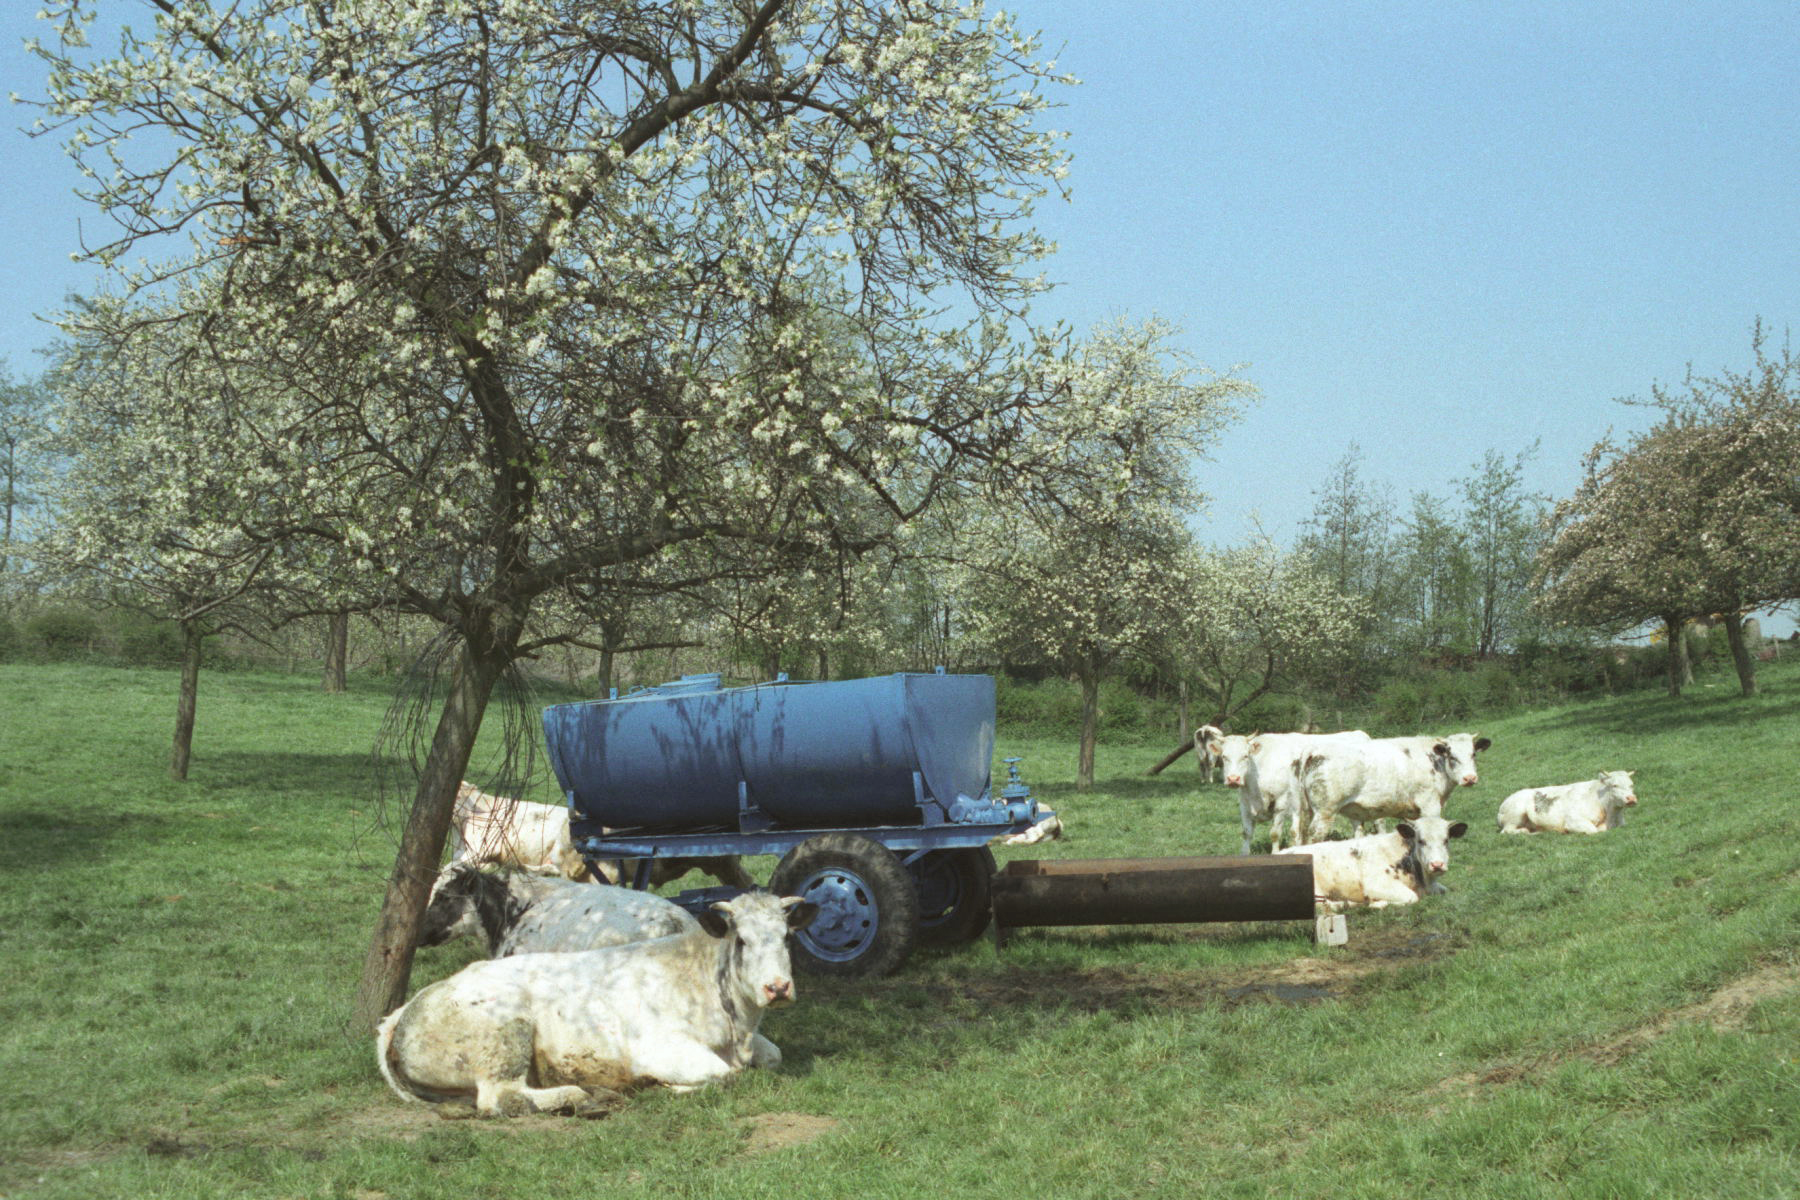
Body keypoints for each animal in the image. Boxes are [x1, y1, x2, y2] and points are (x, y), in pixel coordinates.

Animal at [378, 891, 820, 1117]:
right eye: (741, 940)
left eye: (786, 937)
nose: (777, 987)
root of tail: (403, 1010)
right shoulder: (658, 1048)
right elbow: (725, 1075)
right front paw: (666, 1087)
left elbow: (773, 1056)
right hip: (502, 1035)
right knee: (501, 1098)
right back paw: (581, 1097)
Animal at [1208, 729, 1372, 855]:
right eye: (1224, 757)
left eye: (1245, 756)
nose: (1233, 779)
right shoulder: (1245, 804)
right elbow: (1246, 833)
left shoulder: (1281, 803)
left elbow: (1275, 834)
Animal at [1277, 816, 1469, 910]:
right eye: (1420, 840)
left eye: (1446, 840)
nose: (1437, 865)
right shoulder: (1377, 884)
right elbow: (1411, 897)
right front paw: (1376, 903)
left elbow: (1444, 890)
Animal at [1296, 733, 1491, 842]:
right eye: (1452, 756)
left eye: (1473, 754)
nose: (1469, 778)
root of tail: (1314, 750)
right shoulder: (1429, 804)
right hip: (1325, 811)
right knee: (1314, 836)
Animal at [1497, 771, 1637, 834]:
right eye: (1614, 785)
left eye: (1631, 785)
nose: (1631, 798)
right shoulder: (1573, 820)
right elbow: (1593, 830)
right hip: (1515, 814)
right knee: (1508, 831)